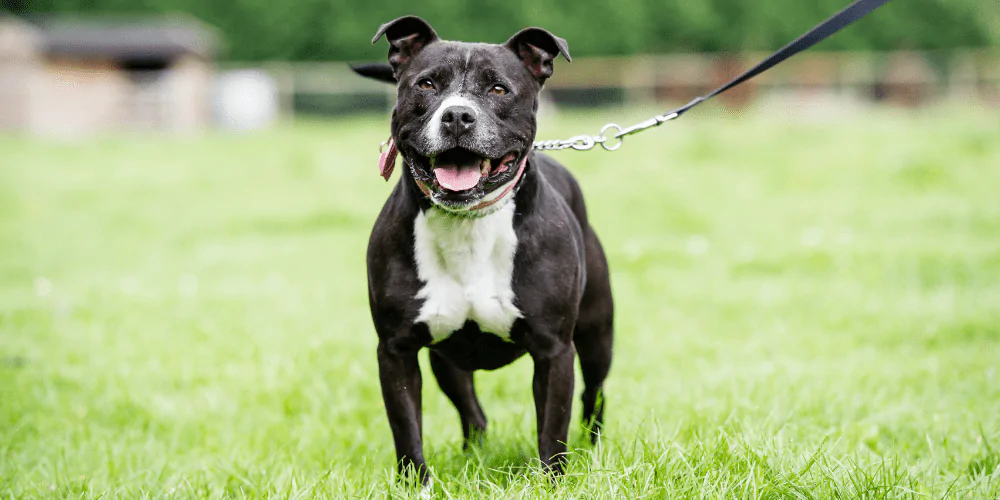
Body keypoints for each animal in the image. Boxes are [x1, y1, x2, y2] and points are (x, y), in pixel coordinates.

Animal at [360, 15, 608, 480]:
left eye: (498, 89)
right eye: (426, 85)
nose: (458, 115)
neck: (466, 223)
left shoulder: (554, 350)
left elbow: (553, 426)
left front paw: (552, 480)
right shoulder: (397, 350)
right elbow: (406, 426)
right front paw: (416, 483)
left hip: (597, 335)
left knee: (594, 395)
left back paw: (595, 446)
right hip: (447, 360)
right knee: (472, 411)